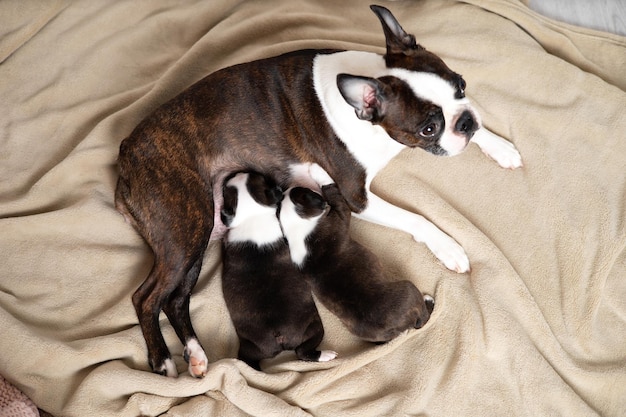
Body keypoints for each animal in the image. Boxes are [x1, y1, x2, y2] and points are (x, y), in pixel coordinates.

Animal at [219, 171, 336, 368]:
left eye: (227, 190)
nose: (237, 172)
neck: (253, 217)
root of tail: (279, 336)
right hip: (315, 326)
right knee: (302, 351)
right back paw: (326, 355)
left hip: (250, 347)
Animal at [280, 164, 434, 342]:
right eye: (306, 191)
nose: (288, 187)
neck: (296, 228)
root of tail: (395, 329)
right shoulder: (341, 213)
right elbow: (333, 191)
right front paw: (318, 171)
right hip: (409, 290)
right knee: (422, 319)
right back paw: (429, 302)